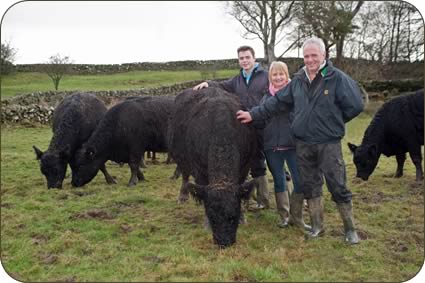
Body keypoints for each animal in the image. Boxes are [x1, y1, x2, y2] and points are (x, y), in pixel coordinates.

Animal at [168, 87, 255, 248]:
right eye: (211, 215)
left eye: (233, 216)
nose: (223, 242)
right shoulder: (199, 170)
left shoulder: (245, 166)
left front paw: (243, 217)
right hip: (180, 155)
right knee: (185, 175)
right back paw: (182, 195)